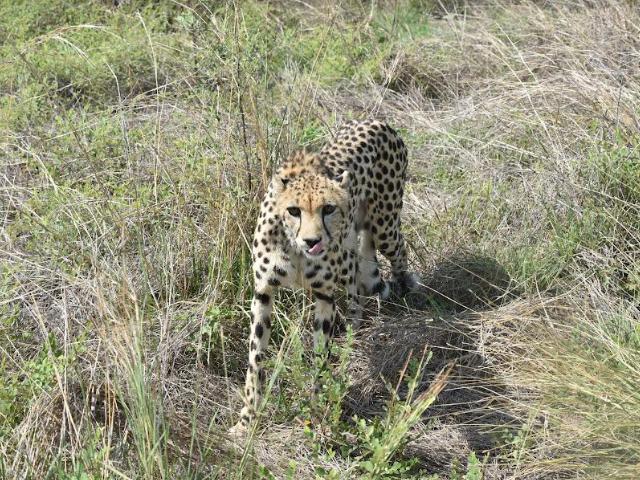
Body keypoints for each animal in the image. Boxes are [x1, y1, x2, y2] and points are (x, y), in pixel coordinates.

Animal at [231, 119, 416, 432]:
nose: (312, 241)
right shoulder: (263, 292)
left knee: (397, 254)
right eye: (294, 210)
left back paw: (401, 295)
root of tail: (376, 121)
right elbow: (256, 359)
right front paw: (247, 419)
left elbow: (320, 356)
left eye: (328, 208)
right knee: (359, 280)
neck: (294, 248)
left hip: (385, 226)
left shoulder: (324, 295)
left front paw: (318, 407)